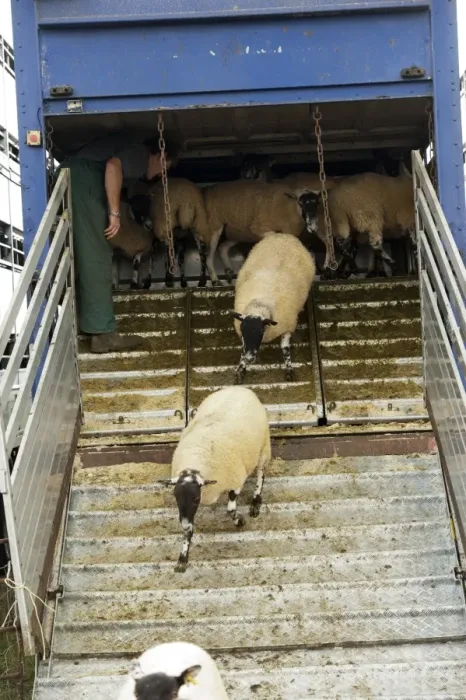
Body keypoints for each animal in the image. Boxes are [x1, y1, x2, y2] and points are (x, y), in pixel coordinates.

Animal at [158, 386, 271, 572]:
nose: (184, 524)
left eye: (196, 499)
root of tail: (240, 388)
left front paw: (240, 521)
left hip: (263, 447)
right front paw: (182, 559)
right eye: (175, 497)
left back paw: (256, 502)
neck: (197, 459)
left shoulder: (236, 479)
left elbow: (231, 509)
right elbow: (188, 531)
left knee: (261, 473)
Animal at [233, 233, 316, 384]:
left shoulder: (288, 326)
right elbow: (242, 349)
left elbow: (285, 348)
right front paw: (241, 370)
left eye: (261, 331)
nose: (250, 358)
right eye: (242, 330)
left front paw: (289, 370)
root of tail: (282, 235)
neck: (259, 306)